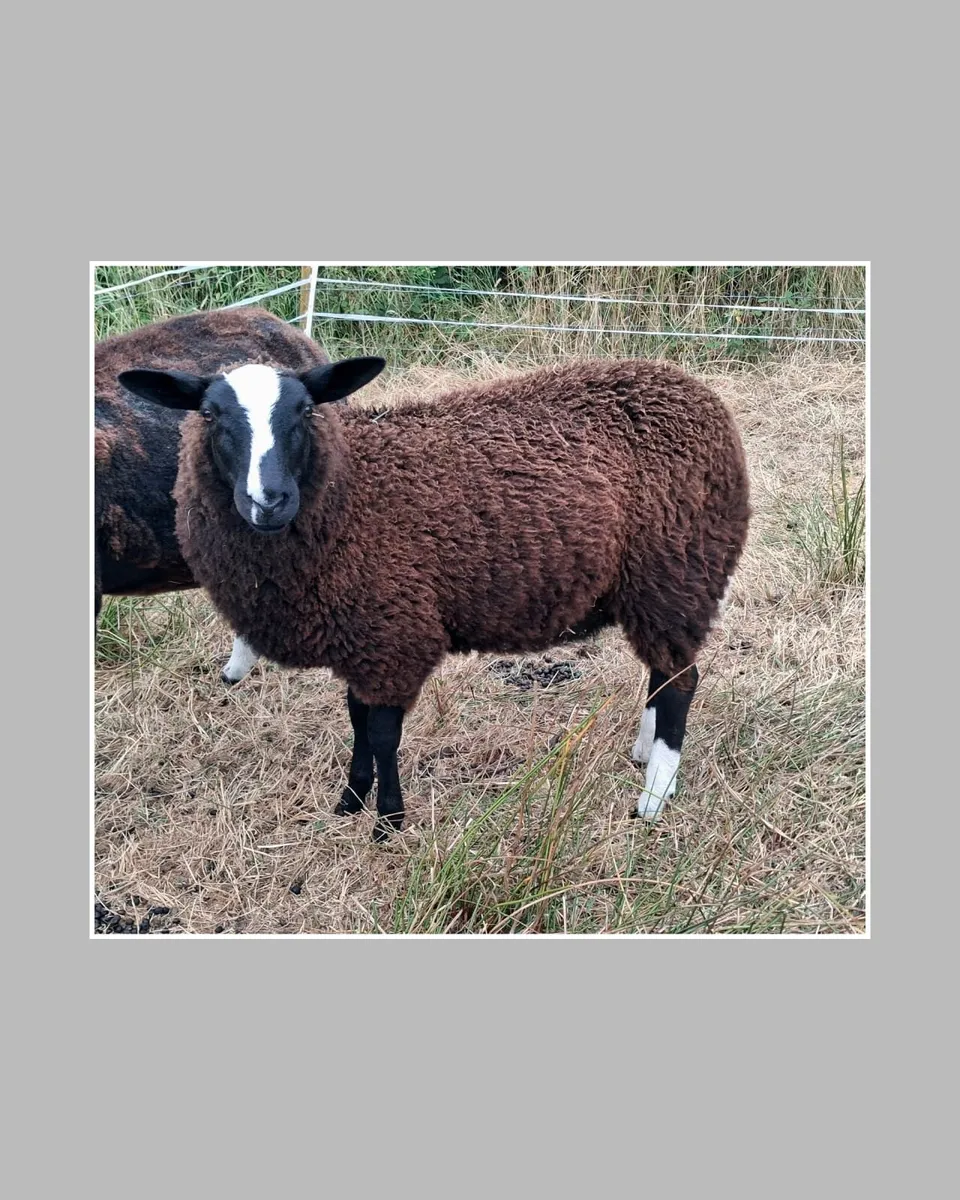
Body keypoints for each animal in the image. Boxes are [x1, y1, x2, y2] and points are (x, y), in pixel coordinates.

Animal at [119, 357, 751, 840]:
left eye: (304, 411)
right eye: (209, 414)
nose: (268, 500)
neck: (353, 494)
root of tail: (693, 390)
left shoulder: (393, 632)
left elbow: (381, 733)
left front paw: (387, 822)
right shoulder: (362, 635)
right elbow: (356, 720)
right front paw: (350, 799)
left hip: (676, 572)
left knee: (680, 682)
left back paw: (654, 797)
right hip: (657, 586)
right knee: (662, 675)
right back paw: (643, 754)